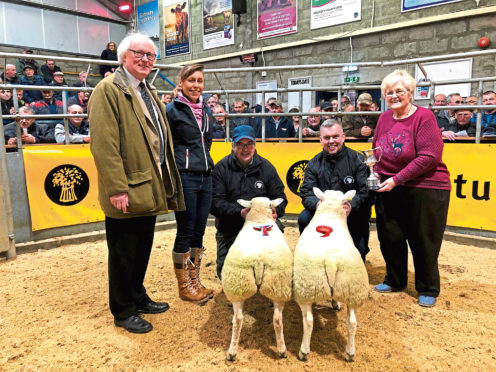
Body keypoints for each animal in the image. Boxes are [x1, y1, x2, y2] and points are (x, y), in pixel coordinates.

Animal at [222, 196, 294, 362]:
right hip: (277, 286)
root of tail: (259, 260)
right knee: (277, 320)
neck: (260, 219)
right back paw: (282, 350)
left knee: (239, 319)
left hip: (240, 284)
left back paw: (232, 352)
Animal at [292, 187, 370, 362]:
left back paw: (303, 351)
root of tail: (331, 261)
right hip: (352, 290)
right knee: (352, 323)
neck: (330, 213)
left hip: (306, 289)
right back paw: (350, 353)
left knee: (308, 321)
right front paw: (335, 304)